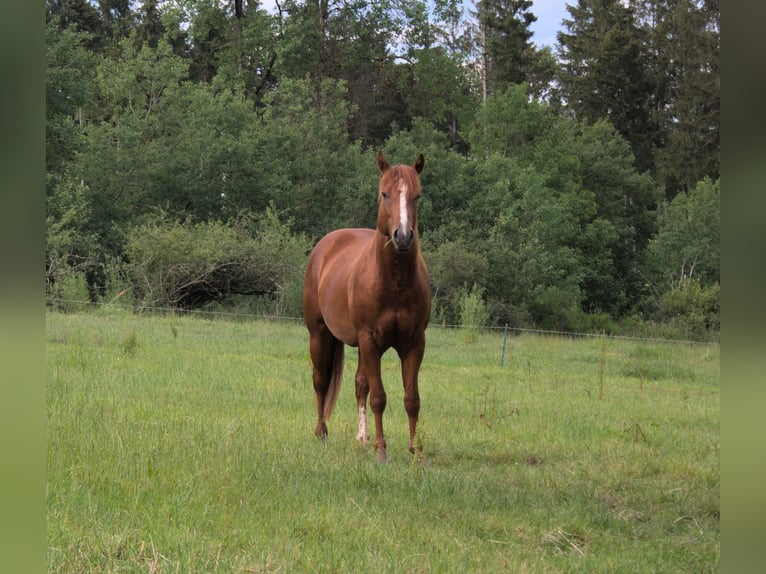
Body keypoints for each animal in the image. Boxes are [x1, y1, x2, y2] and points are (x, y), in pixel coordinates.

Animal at [304, 152, 432, 464]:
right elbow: (379, 397)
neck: (394, 281)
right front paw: (381, 450)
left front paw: (416, 452)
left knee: (360, 383)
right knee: (321, 381)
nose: (403, 236)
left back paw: (361, 438)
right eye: (385, 194)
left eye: (417, 196)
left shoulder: (414, 343)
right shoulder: (370, 340)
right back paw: (321, 432)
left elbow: (411, 399)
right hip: (319, 334)